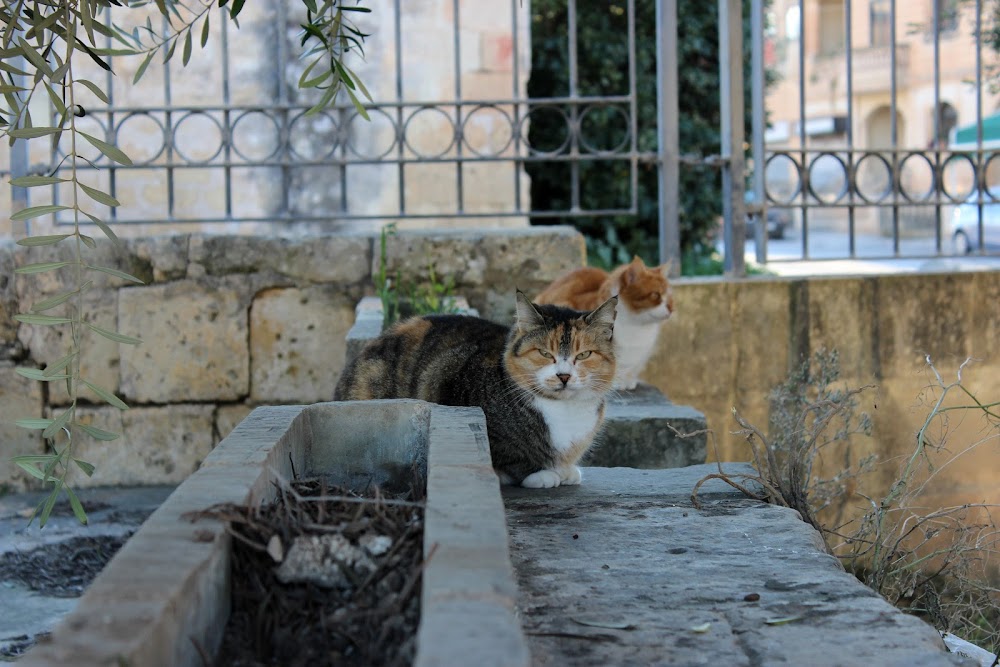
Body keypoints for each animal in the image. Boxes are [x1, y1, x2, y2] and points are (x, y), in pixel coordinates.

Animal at [336, 290, 616, 488]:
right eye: (545, 353)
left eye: (584, 354)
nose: (564, 376)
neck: (563, 411)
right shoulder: (446, 374)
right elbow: (511, 455)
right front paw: (542, 474)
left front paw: (565, 470)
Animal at [540, 256, 672, 392]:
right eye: (655, 294)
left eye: (669, 296)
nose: (671, 308)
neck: (636, 326)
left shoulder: (640, 355)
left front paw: (628, 381)